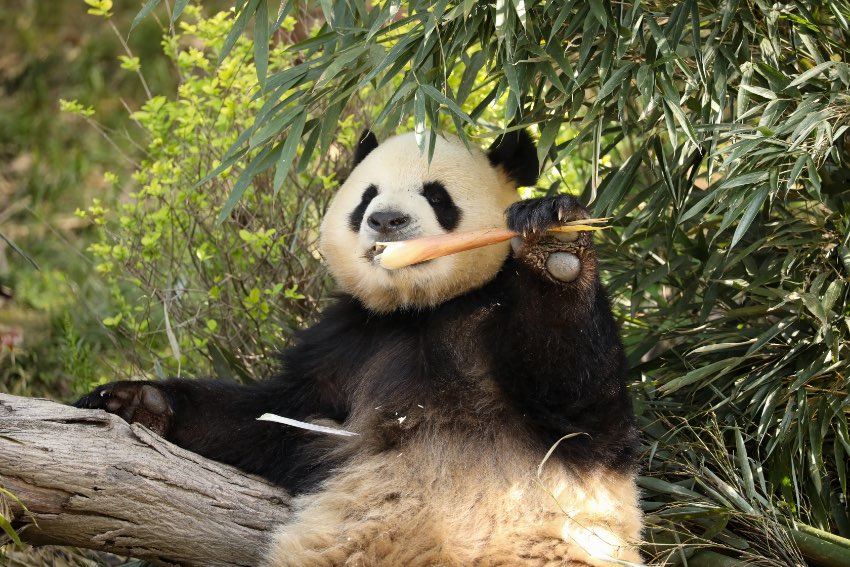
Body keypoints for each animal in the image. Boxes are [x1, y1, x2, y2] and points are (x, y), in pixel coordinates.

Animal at [75, 130, 642, 566]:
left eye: (437, 195)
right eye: (367, 196)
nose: (386, 219)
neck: (422, 309)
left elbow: (578, 401)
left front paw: (557, 244)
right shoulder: (346, 347)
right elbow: (271, 418)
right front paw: (134, 401)